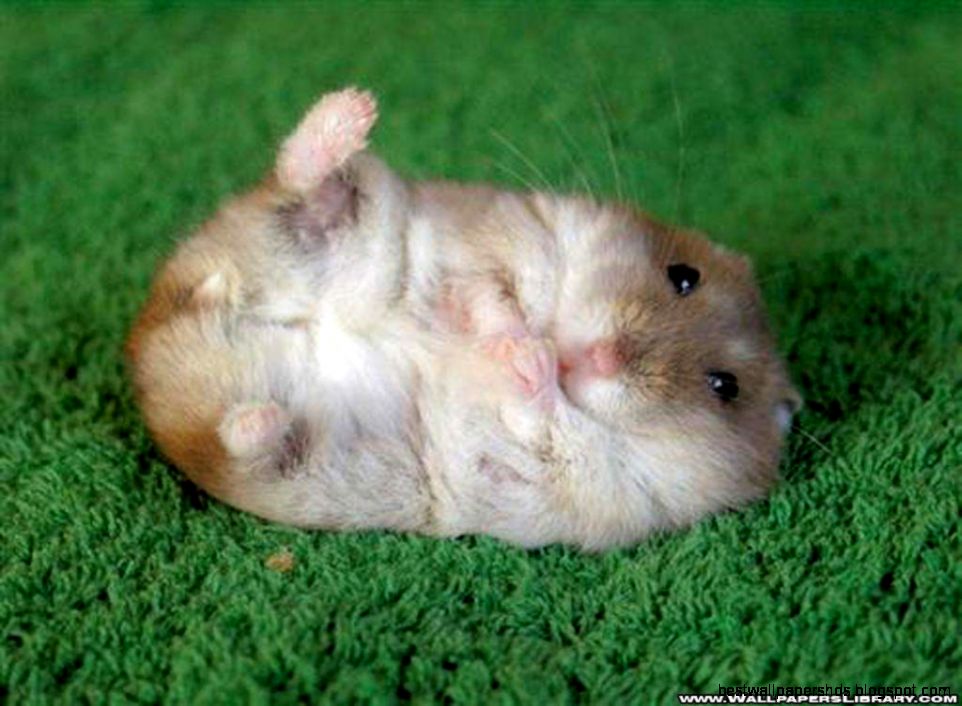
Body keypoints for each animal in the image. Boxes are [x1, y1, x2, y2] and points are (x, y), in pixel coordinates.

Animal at [126, 88, 800, 550]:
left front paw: (523, 358)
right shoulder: (509, 235)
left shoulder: (596, 482)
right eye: (682, 275)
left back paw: (262, 417)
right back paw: (352, 111)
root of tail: (158, 333)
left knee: (241, 439)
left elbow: (542, 415)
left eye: (724, 386)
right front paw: (508, 337)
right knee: (303, 183)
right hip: (337, 229)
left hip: (282, 460)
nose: (596, 358)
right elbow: (491, 294)